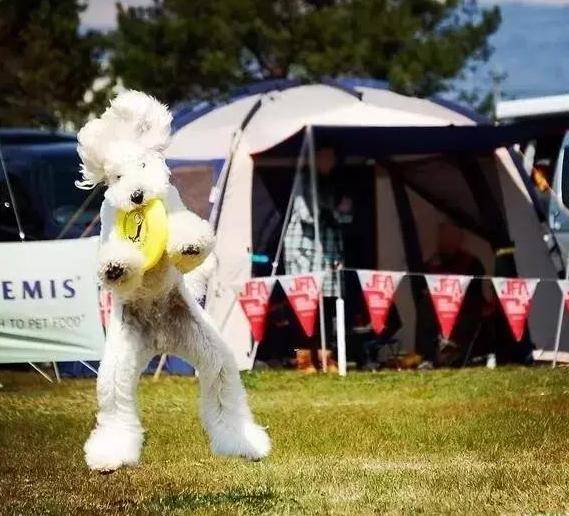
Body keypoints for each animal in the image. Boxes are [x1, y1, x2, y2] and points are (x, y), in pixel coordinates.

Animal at [77, 89, 270, 472]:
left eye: (142, 166)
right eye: (116, 177)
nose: (137, 195)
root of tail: (160, 339)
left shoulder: (177, 207)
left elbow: (187, 231)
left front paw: (188, 244)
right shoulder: (109, 227)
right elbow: (115, 256)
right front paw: (117, 267)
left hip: (210, 352)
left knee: (223, 390)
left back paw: (244, 443)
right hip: (120, 362)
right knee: (116, 403)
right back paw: (110, 455)